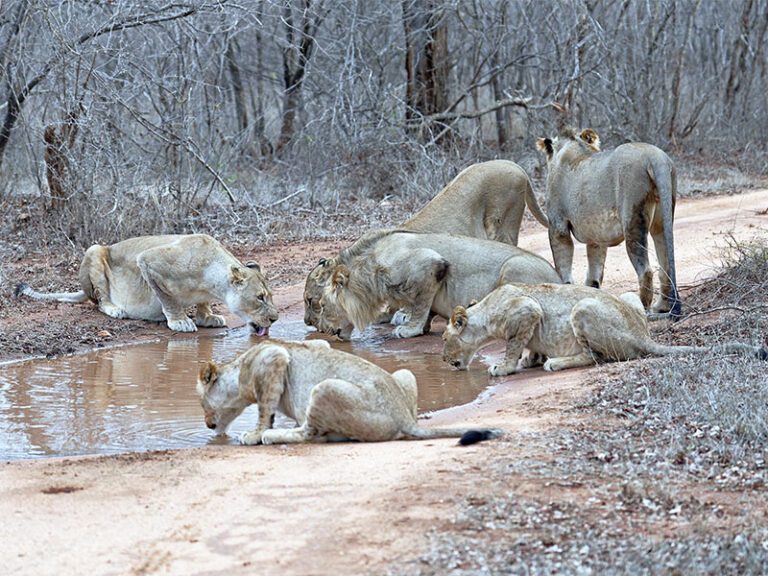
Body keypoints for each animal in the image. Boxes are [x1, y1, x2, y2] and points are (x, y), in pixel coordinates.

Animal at [15, 234, 278, 334]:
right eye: (260, 297)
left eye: (270, 296)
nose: (275, 319)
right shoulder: (149, 261)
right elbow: (167, 298)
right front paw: (180, 321)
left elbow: (203, 303)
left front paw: (206, 317)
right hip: (95, 250)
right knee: (100, 300)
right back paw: (115, 309)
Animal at [196, 339, 503, 445]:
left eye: (201, 402)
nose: (208, 424)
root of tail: (403, 418)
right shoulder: (318, 343)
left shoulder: (275, 356)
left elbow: (264, 406)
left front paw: (256, 433)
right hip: (405, 374)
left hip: (325, 387)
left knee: (310, 434)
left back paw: (273, 436)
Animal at [313, 229, 560, 340]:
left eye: (322, 305)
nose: (322, 330)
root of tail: (558, 278)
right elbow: (426, 307)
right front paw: (420, 326)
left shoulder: (429, 263)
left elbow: (421, 304)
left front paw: (409, 329)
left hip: (512, 267)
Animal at [442, 283, 767, 376]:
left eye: (444, 338)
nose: (444, 359)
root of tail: (641, 334)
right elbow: (529, 346)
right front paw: (529, 360)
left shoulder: (527, 309)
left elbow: (512, 345)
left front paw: (505, 367)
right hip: (629, 297)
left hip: (583, 308)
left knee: (596, 357)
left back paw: (556, 362)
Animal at [536, 127, 681, 318]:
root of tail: (656, 157)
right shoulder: (596, 236)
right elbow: (595, 269)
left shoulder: (558, 226)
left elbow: (563, 266)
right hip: (662, 217)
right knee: (665, 265)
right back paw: (662, 307)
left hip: (632, 219)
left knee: (646, 271)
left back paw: (641, 308)